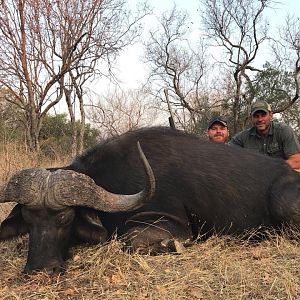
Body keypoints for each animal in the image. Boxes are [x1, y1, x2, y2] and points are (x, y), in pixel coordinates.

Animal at [0, 127, 300, 274]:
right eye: (28, 219)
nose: (40, 269)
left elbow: (128, 240)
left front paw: (170, 246)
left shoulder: (174, 225)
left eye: (65, 218)